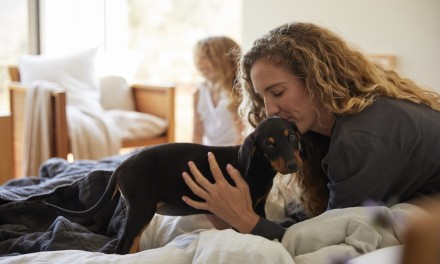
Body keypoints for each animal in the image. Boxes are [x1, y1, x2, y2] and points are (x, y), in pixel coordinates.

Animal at [44, 116, 306, 255]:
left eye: (291, 137)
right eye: (269, 144)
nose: (294, 165)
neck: (259, 166)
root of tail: (123, 165)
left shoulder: (258, 207)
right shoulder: (244, 210)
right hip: (142, 208)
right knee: (123, 246)